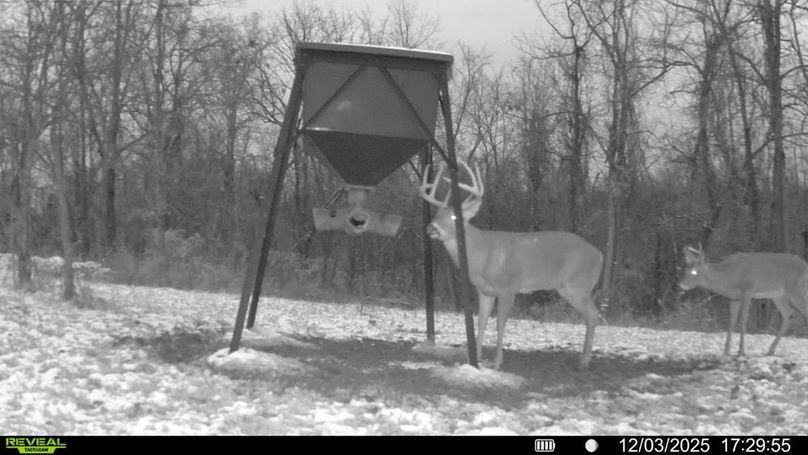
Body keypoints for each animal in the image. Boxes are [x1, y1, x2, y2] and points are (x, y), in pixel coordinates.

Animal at [418, 161, 603, 370]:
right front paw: (475, 359)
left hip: (579, 285)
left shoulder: (508, 287)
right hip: (565, 288)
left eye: (454, 218)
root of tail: (599, 254)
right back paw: (584, 358)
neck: (481, 254)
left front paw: (497, 362)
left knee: (594, 313)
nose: (431, 228)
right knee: (591, 314)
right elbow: (481, 322)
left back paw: (584, 360)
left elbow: (500, 323)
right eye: (436, 214)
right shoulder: (484, 291)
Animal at [678, 245, 808, 356]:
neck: (728, 276)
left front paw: (741, 351)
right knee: (788, 315)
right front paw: (726, 351)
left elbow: (743, 318)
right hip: (779, 296)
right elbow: (732, 320)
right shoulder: (734, 298)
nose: (681, 284)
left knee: (801, 312)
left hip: (796, 290)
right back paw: (770, 350)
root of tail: (805, 265)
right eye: (684, 269)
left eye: (693, 272)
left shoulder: (747, 291)